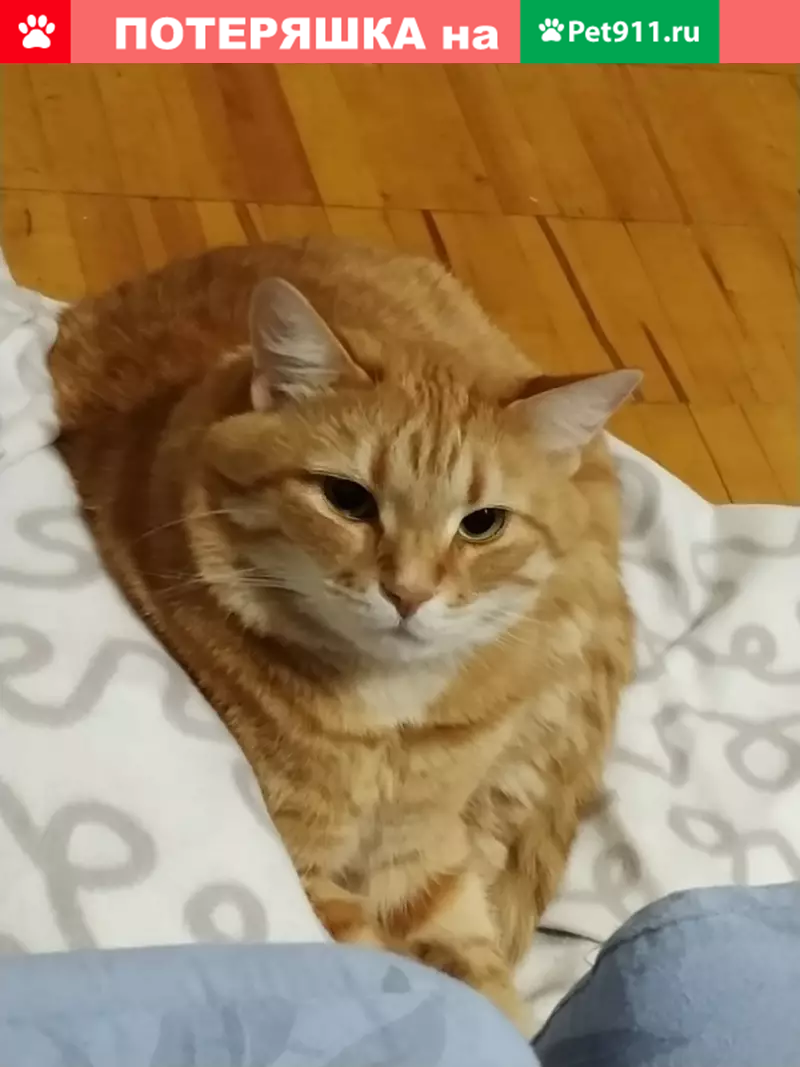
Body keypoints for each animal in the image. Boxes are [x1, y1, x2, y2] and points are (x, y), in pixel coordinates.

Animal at [52, 238, 639, 1028]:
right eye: (346, 499)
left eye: (482, 523)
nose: (409, 593)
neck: (389, 723)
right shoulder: (307, 869)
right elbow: (402, 979)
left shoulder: (427, 863)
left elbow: (485, 980)